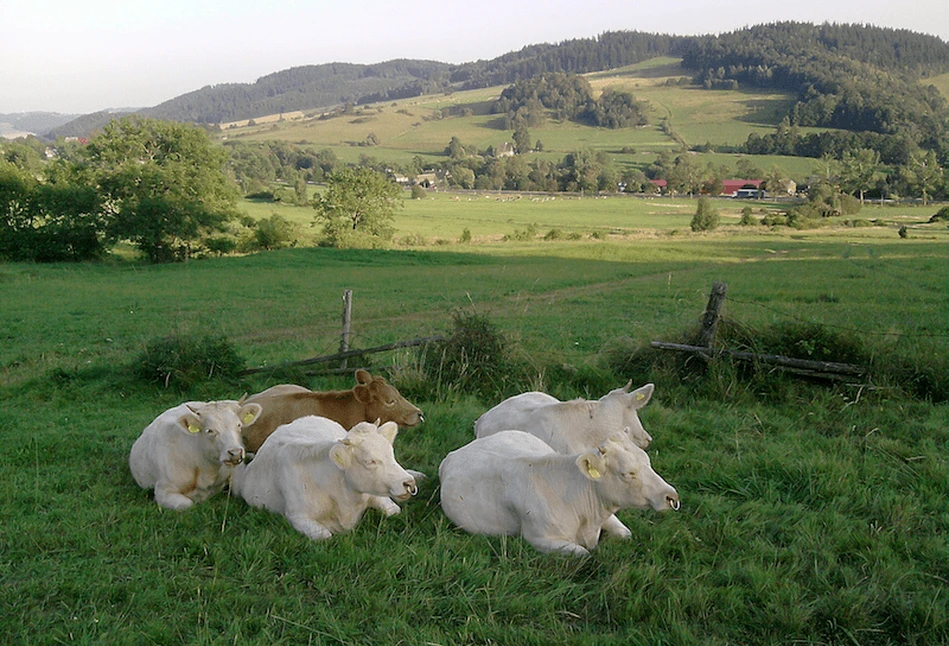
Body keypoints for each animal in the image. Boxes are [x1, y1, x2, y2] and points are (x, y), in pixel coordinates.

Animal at [230, 416, 414, 540]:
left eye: (391, 453)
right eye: (370, 461)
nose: (409, 483)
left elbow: (394, 511)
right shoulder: (297, 516)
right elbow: (325, 535)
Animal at [440, 430, 676, 556]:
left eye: (648, 462)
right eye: (627, 473)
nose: (672, 497)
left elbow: (625, 534)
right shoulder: (540, 539)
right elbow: (584, 553)